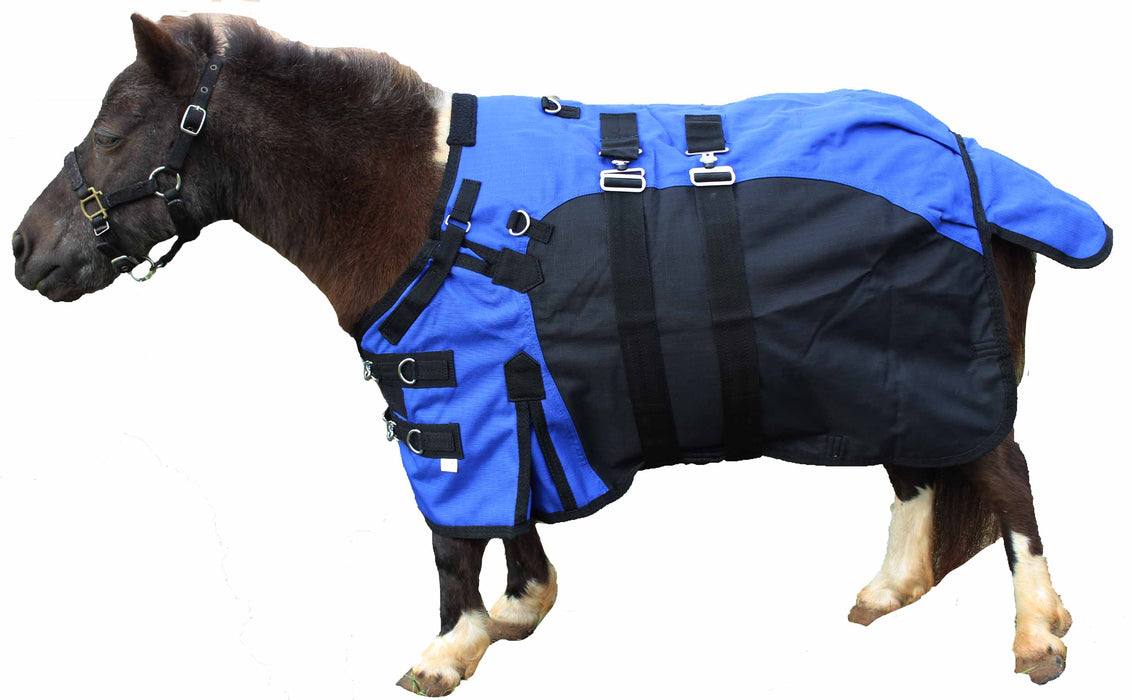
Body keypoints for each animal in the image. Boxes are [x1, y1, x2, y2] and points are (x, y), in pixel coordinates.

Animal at [11, 13, 1095, 696]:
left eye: (115, 133)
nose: (24, 249)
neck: (415, 196)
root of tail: (970, 157)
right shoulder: (508, 397)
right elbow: (516, 517)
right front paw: (518, 611)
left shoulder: (453, 402)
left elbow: (455, 536)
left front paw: (448, 650)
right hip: (876, 368)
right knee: (919, 474)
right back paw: (888, 589)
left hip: (927, 367)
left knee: (1002, 474)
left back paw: (1037, 630)